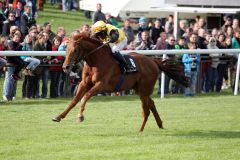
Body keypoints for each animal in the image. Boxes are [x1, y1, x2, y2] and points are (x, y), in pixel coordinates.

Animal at [52, 33, 188, 131]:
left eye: (75, 50)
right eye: (66, 49)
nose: (65, 67)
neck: (96, 61)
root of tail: (153, 61)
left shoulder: (102, 84)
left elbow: (85, 96)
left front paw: (80, 116)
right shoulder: (84, 83)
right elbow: (74, 100)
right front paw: (58, 116)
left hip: (144, 90)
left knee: (146, 109)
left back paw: (140, 130)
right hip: (139, 89)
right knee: (151, 104)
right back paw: (159, 124)